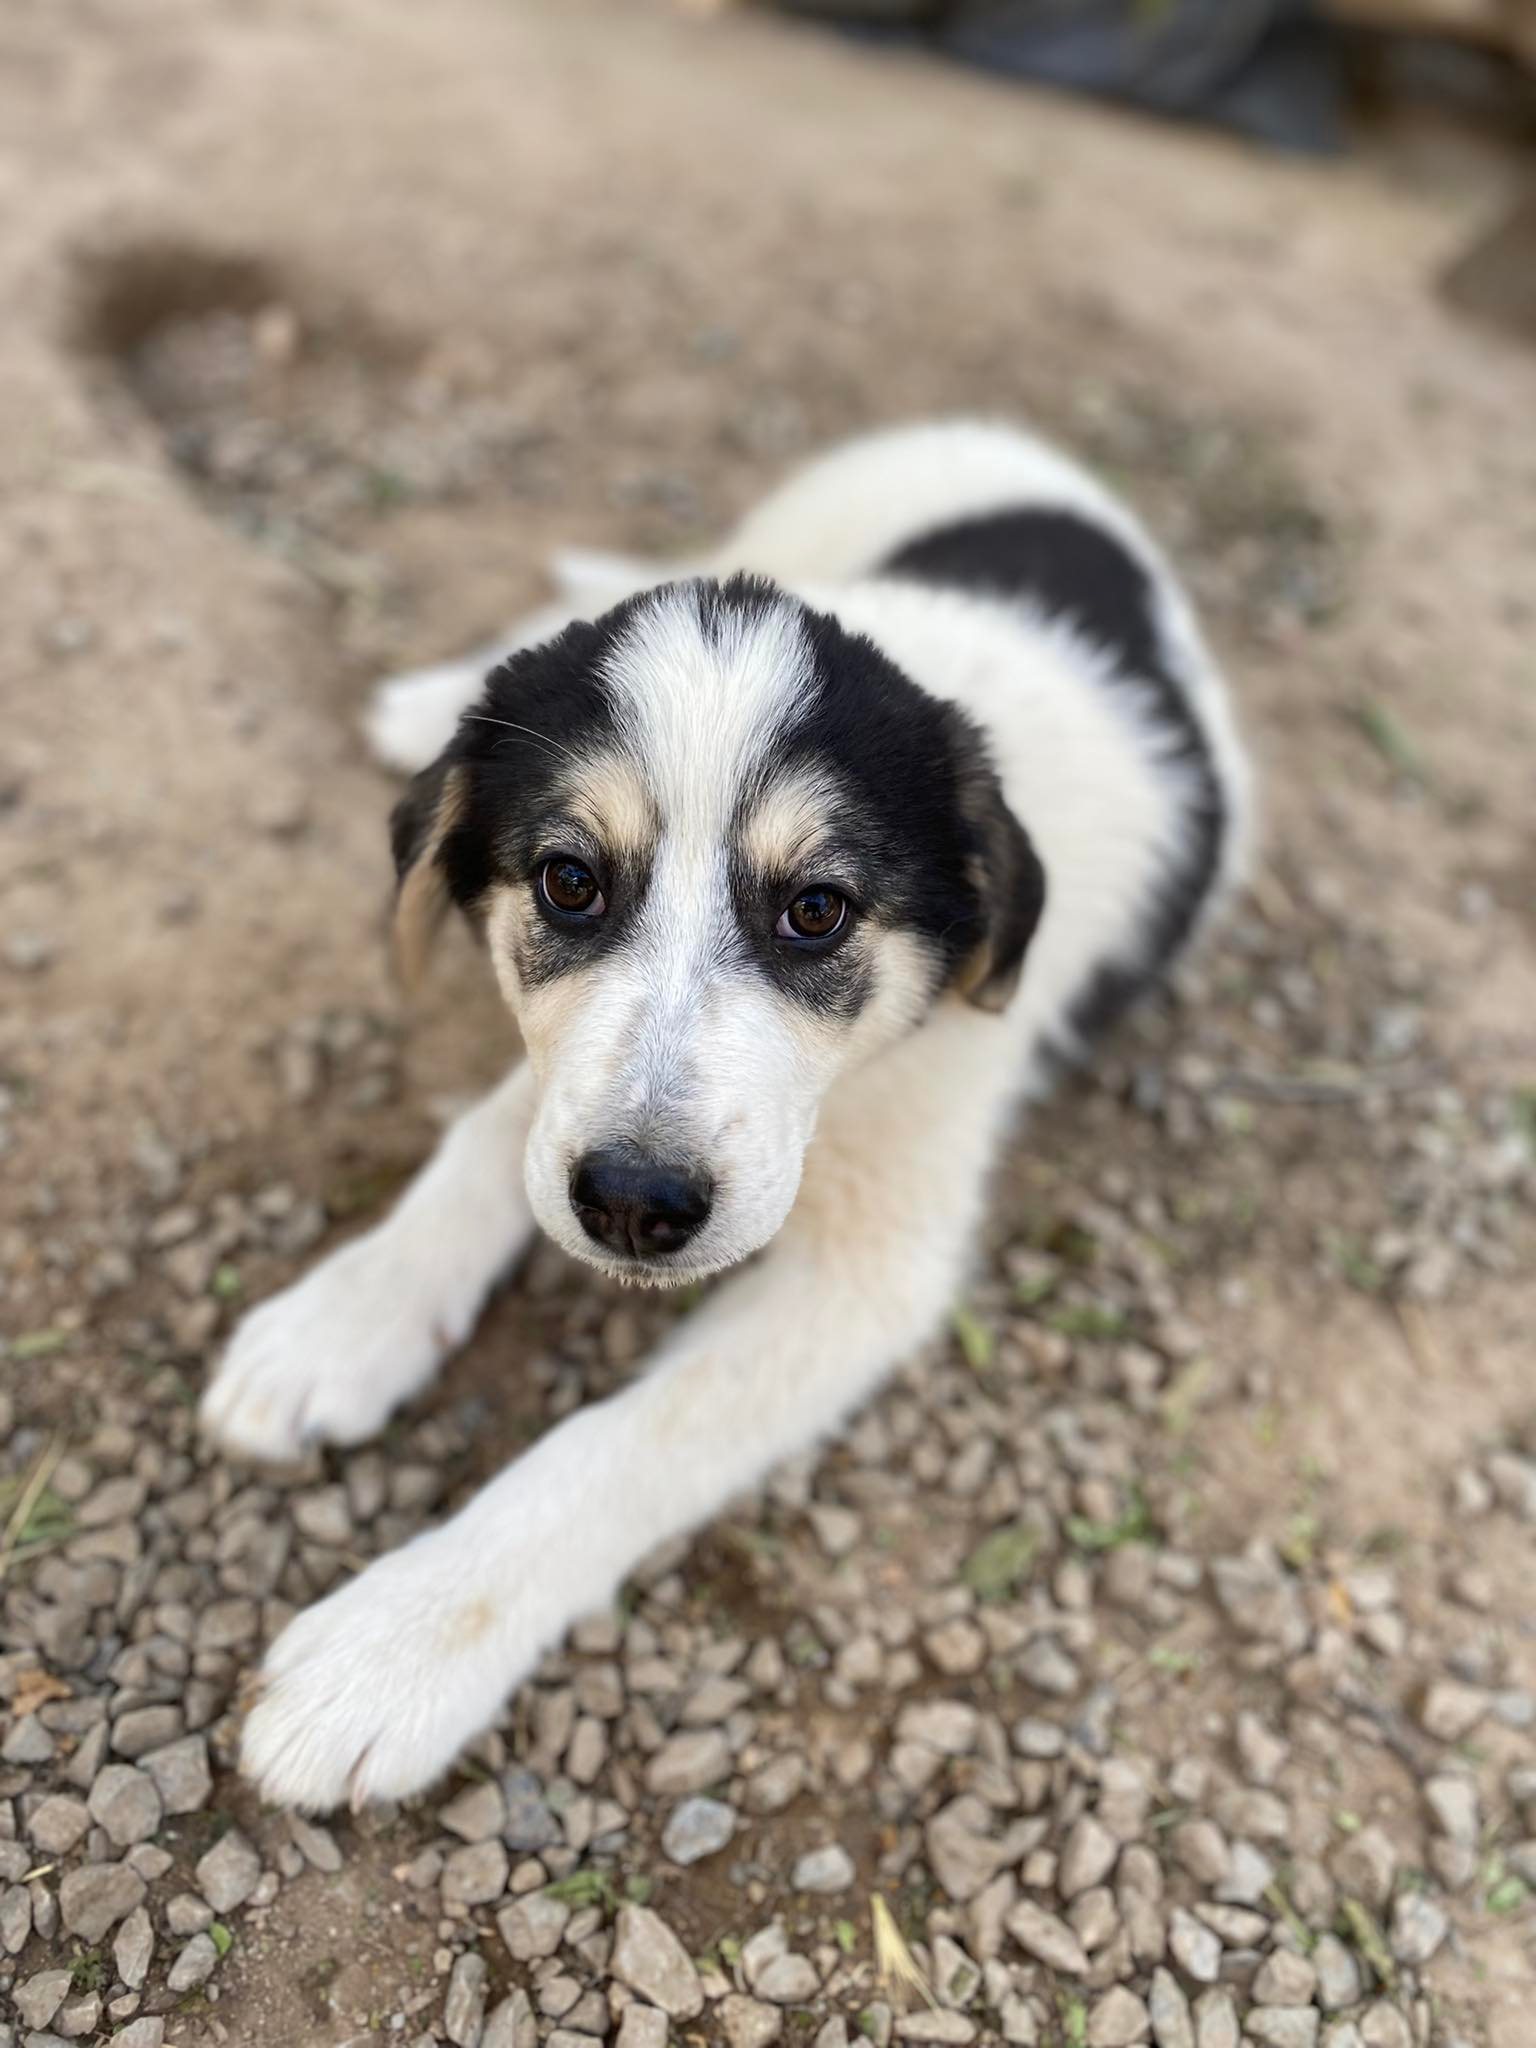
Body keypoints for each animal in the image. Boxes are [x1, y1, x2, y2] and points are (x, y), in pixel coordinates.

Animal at [198, 415, 1253, 1810]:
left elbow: (620, 1442)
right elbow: (486, 1142)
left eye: (817, 909)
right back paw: (433, 699)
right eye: (569, 881)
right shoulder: (566, 1089)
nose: (635, 1207)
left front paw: (395, 1646)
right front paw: (342, 1319)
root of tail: (1026, 449)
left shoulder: (868, 1264)